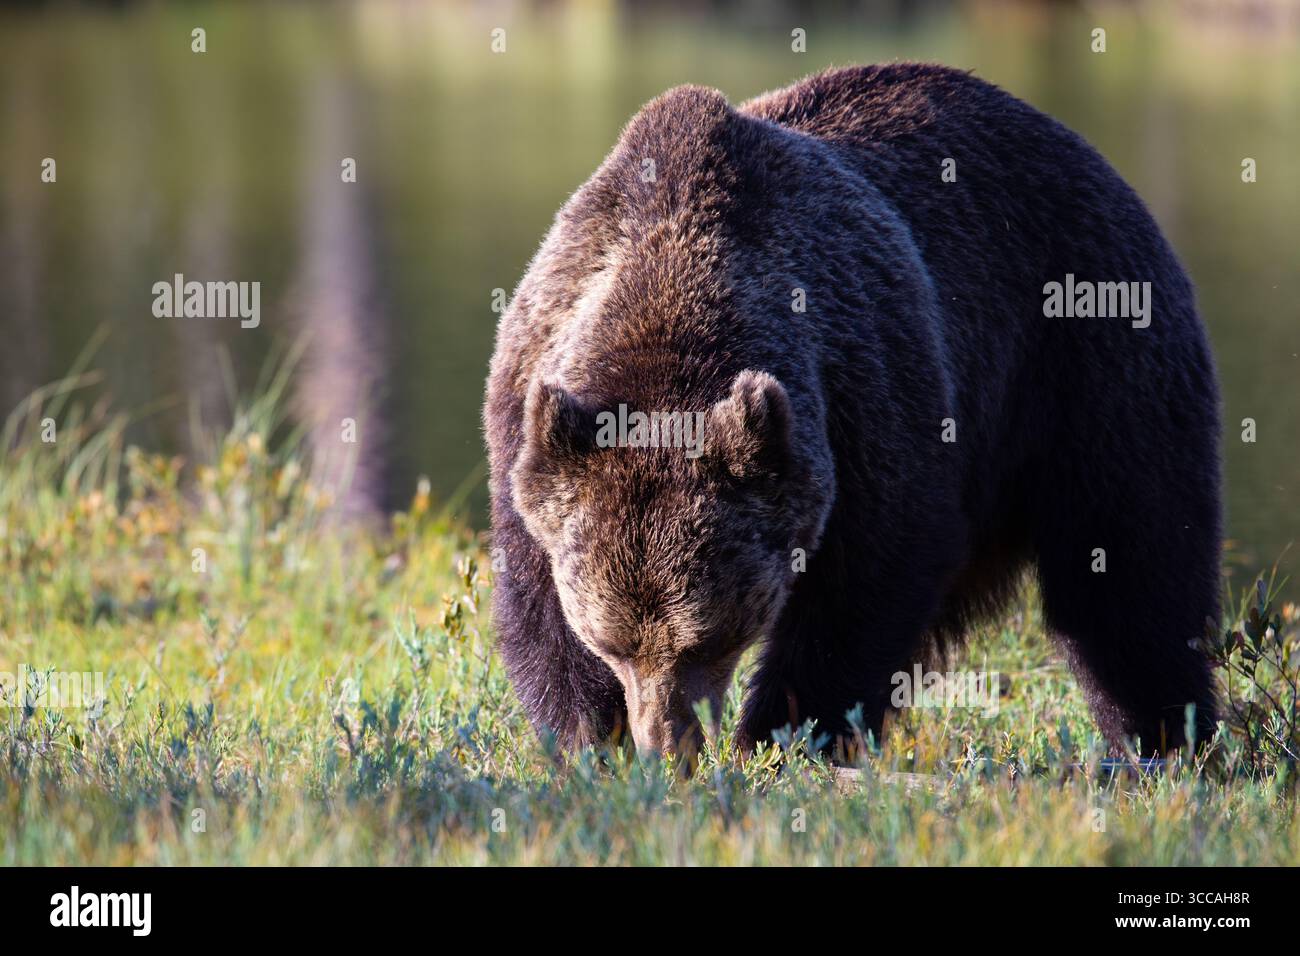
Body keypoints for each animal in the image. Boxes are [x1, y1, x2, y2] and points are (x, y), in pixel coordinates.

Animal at [484, 64, 1222, 760]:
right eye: (612, 642)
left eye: (710, 637)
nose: (669, 745)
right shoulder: (529, 403)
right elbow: (535, 599)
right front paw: (586, 736)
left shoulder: (863, 388)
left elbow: (868, 582)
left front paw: (779, 735)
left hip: (1089, 359)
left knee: (1131, 574)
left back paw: (1164, 739)